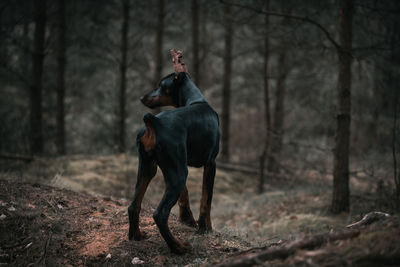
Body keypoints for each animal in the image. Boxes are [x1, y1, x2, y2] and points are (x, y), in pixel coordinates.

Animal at [128, 70, 220, 254]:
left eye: (161, 85)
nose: (141, 97)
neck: (196, 99)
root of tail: (154, 122)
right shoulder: (211, 163)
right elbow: (206, 199)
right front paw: (205, 228)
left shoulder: (173, 166)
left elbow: (185, 195)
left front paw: (187, 220)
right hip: (179, 175)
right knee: (160, 214)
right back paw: (178, 247)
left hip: (149, 168)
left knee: (134, 205)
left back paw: (137, 235)